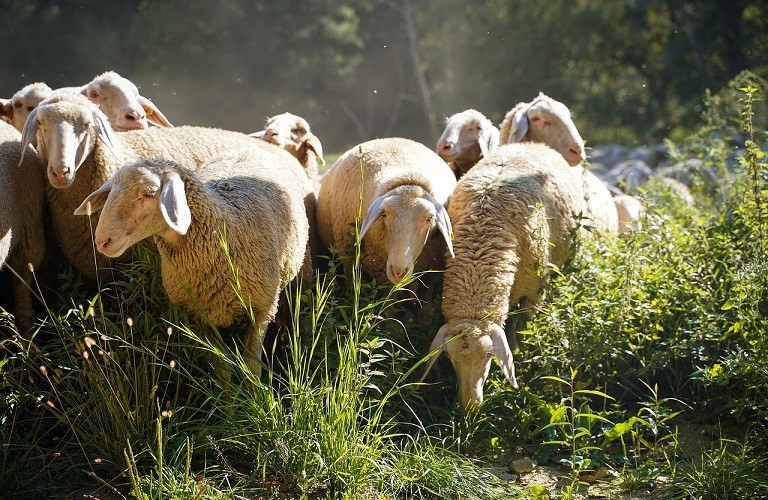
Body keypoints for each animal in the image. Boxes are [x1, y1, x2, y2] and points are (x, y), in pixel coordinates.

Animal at [73, 148, 312, 378]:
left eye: (149, 193)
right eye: (111, 191)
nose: (102, 241)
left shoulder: (262, 309)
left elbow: (252, 366)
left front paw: (255, 392)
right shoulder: (200, 314)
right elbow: (221, 367)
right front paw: (226, 393)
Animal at [420, 143, 584, 408]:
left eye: (489, 354)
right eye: (449, 357)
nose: (470, 406)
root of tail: (534, 145)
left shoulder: (533, 293)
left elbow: (522, 328)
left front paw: (519, 350)